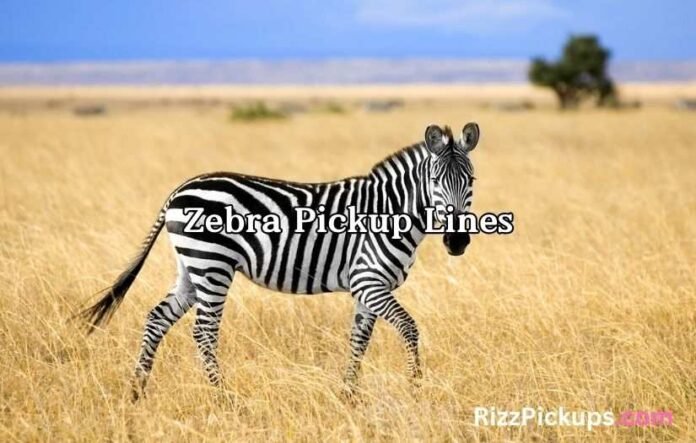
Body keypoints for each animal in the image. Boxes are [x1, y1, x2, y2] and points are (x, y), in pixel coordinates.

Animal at [78, 122, 480, 400]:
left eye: (471, 180)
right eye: (435, 181)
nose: (457, 241)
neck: (390, 210)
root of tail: (180, 188)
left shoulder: (368, 288)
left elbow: (359, 340)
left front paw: (349, 396)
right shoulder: (369, 281)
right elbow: (409, 328)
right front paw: (416, 387)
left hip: (191, 267)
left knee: (157, 318)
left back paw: (137, 391)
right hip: (213, 265)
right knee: (203, 332)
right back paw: (224, 399)